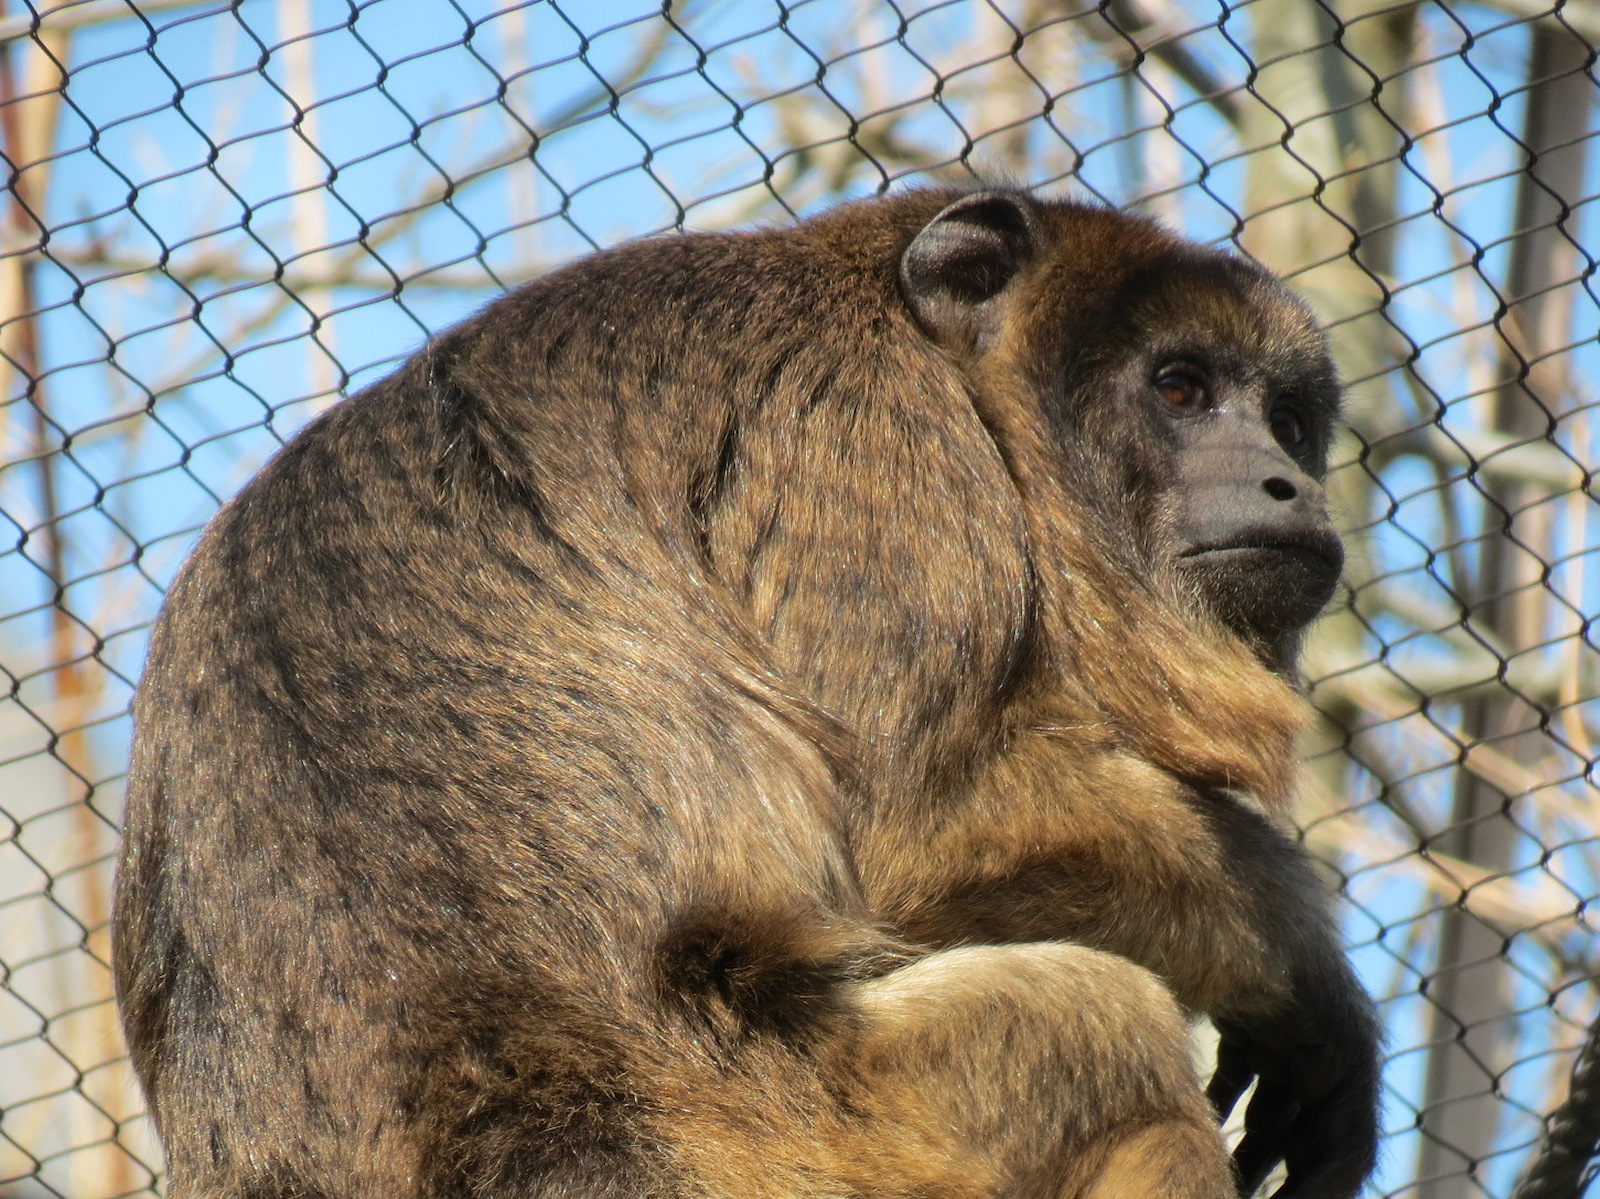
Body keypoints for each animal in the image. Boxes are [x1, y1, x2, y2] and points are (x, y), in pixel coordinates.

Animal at [113, 187, 1381, 1199]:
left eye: (1288, 421)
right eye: (1181, 385)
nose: (1287, 482)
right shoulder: (865, 432)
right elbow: (929, 828)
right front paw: (1302, 966)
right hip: (797, 1134)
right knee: (1098, 1018)